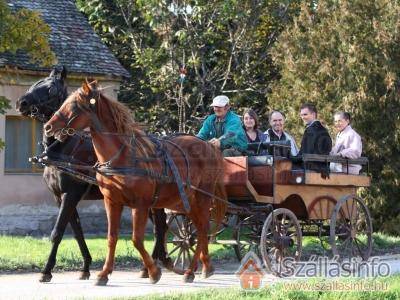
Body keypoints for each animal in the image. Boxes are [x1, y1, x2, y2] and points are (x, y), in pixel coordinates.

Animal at [16, 67, 172, 282]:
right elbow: (76, 231)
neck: (64, 150)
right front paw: (85, 267)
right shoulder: (60, 197)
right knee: (161, 226)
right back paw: (151, 264)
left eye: (50, 89)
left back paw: (152, 265)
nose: (21, 103)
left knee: (160, 227)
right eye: (35, 83)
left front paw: (46, 271)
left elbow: (58, 231)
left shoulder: (70, 195)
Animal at [45, 81, 227, 284]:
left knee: (200, 230)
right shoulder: (111, 202)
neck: (121, 157)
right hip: (184, 201)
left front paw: (154, 272)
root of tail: (208, 145)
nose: (48, 126)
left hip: (200, 198)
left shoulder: (138, 204)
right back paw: (203, 266)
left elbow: (136, 239)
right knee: (193, 230)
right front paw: (104, 273)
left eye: (74, 106)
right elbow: (111, 237)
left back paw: (189, 270)